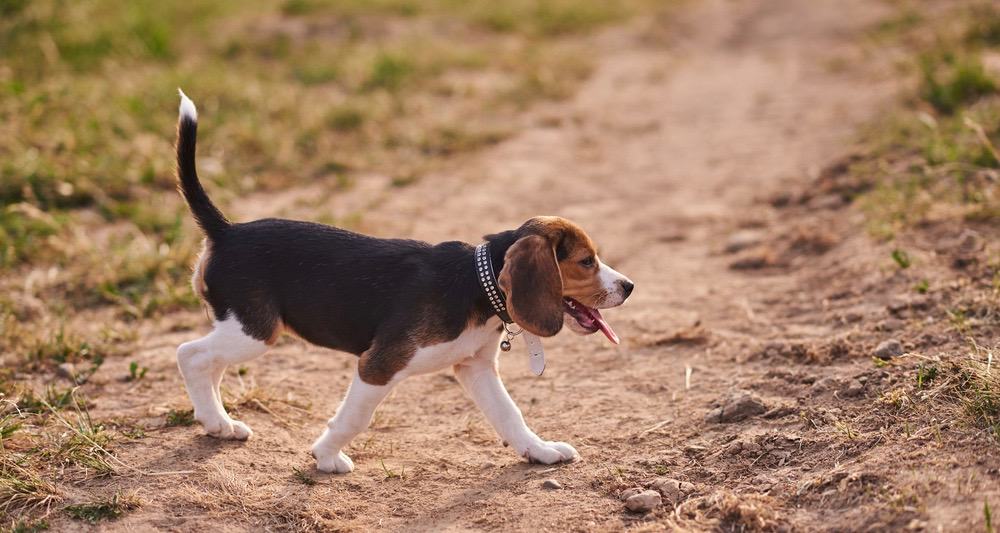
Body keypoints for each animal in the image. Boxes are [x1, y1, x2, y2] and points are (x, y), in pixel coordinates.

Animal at [172, 91, 632, 470]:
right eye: (586, 261)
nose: (629, 287)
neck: (476, 284)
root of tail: (226, 230)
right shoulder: (378, 365)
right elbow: (355, 418)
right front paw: (327, 456)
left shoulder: (475, 367)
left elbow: (509, 414)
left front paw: (540, 451)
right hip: (253, 330)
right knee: (190, 354)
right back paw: (214, 418)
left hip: (239, 331)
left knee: (210, 363)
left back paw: (220, 424)